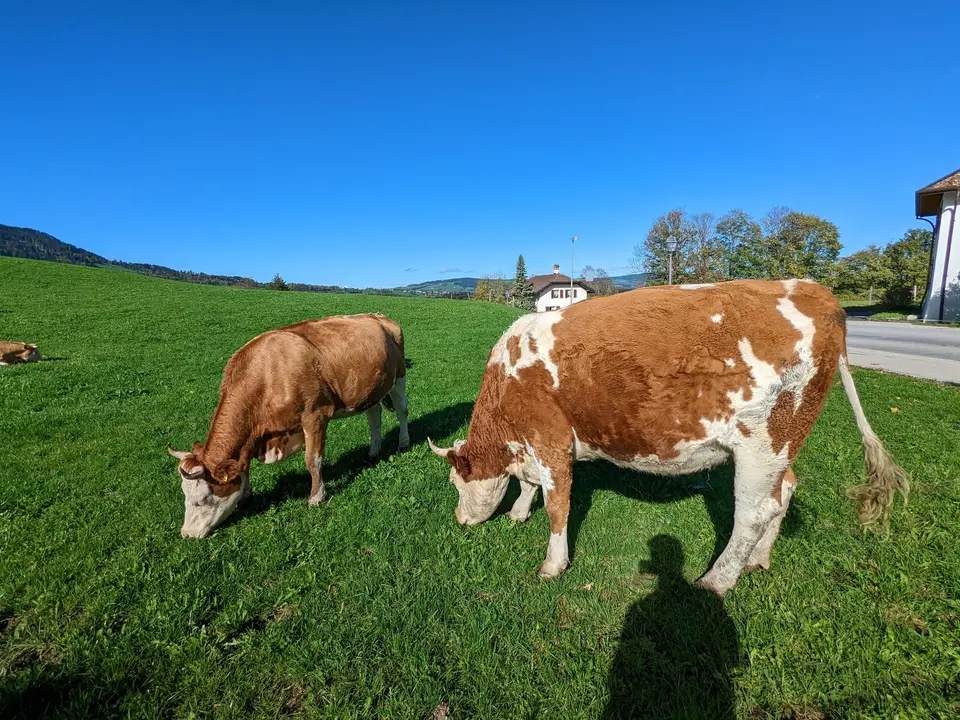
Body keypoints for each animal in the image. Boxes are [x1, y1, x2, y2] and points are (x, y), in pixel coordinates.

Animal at [169, 313, 410, 539]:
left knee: (402, 411)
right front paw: (246, 495)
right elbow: (244, 465)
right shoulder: (252, 440)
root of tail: (379, 316)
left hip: (399, 377)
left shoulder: (315, 416)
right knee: (374, 416)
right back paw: (373, 451)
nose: (187, 534)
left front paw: (316, 497)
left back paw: (403, 443)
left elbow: (313, 460)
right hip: (370, 390)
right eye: (184, 495)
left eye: (204, 498)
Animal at [429, 279, 908, 597]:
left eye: (455, 482)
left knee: (754, 512)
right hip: (782, 445)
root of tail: (816, 291)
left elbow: (558, 504)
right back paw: (757, 559)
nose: (460, 520)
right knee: (784, 492)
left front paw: (552, 564)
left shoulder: (550, 438)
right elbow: (529, 484)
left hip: (762, 441)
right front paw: (518, 512)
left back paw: (716, 581)